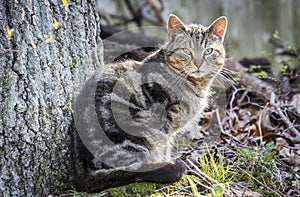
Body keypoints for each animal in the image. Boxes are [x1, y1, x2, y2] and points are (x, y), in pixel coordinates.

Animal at [72, 14, 227, 192]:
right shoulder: (164, 117)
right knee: (132, 170)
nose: (198, 64)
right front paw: (167, 161)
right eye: (186, 51)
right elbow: (166, 146)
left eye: (208, 51)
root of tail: (83, 176)